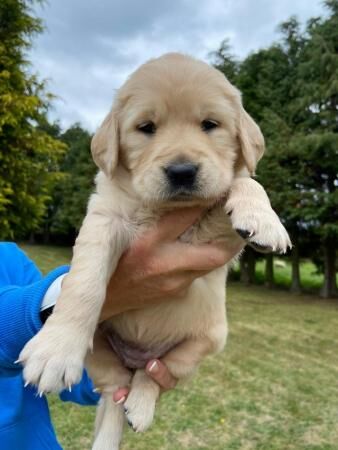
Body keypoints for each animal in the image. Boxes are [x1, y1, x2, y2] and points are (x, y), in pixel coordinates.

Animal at [19, 53, 290, 450]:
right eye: (146, 127)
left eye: (210, 125)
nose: (182, 171)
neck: (164, 209)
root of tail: (136, 357)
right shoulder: (104, 219)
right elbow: (84, 282)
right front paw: (54, 349)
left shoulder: (216, 237)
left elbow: (243, 182)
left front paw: (264, 220)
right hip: (100, 351)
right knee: (115, 391)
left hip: (204, 343)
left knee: (148, 378)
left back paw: (141, 406)